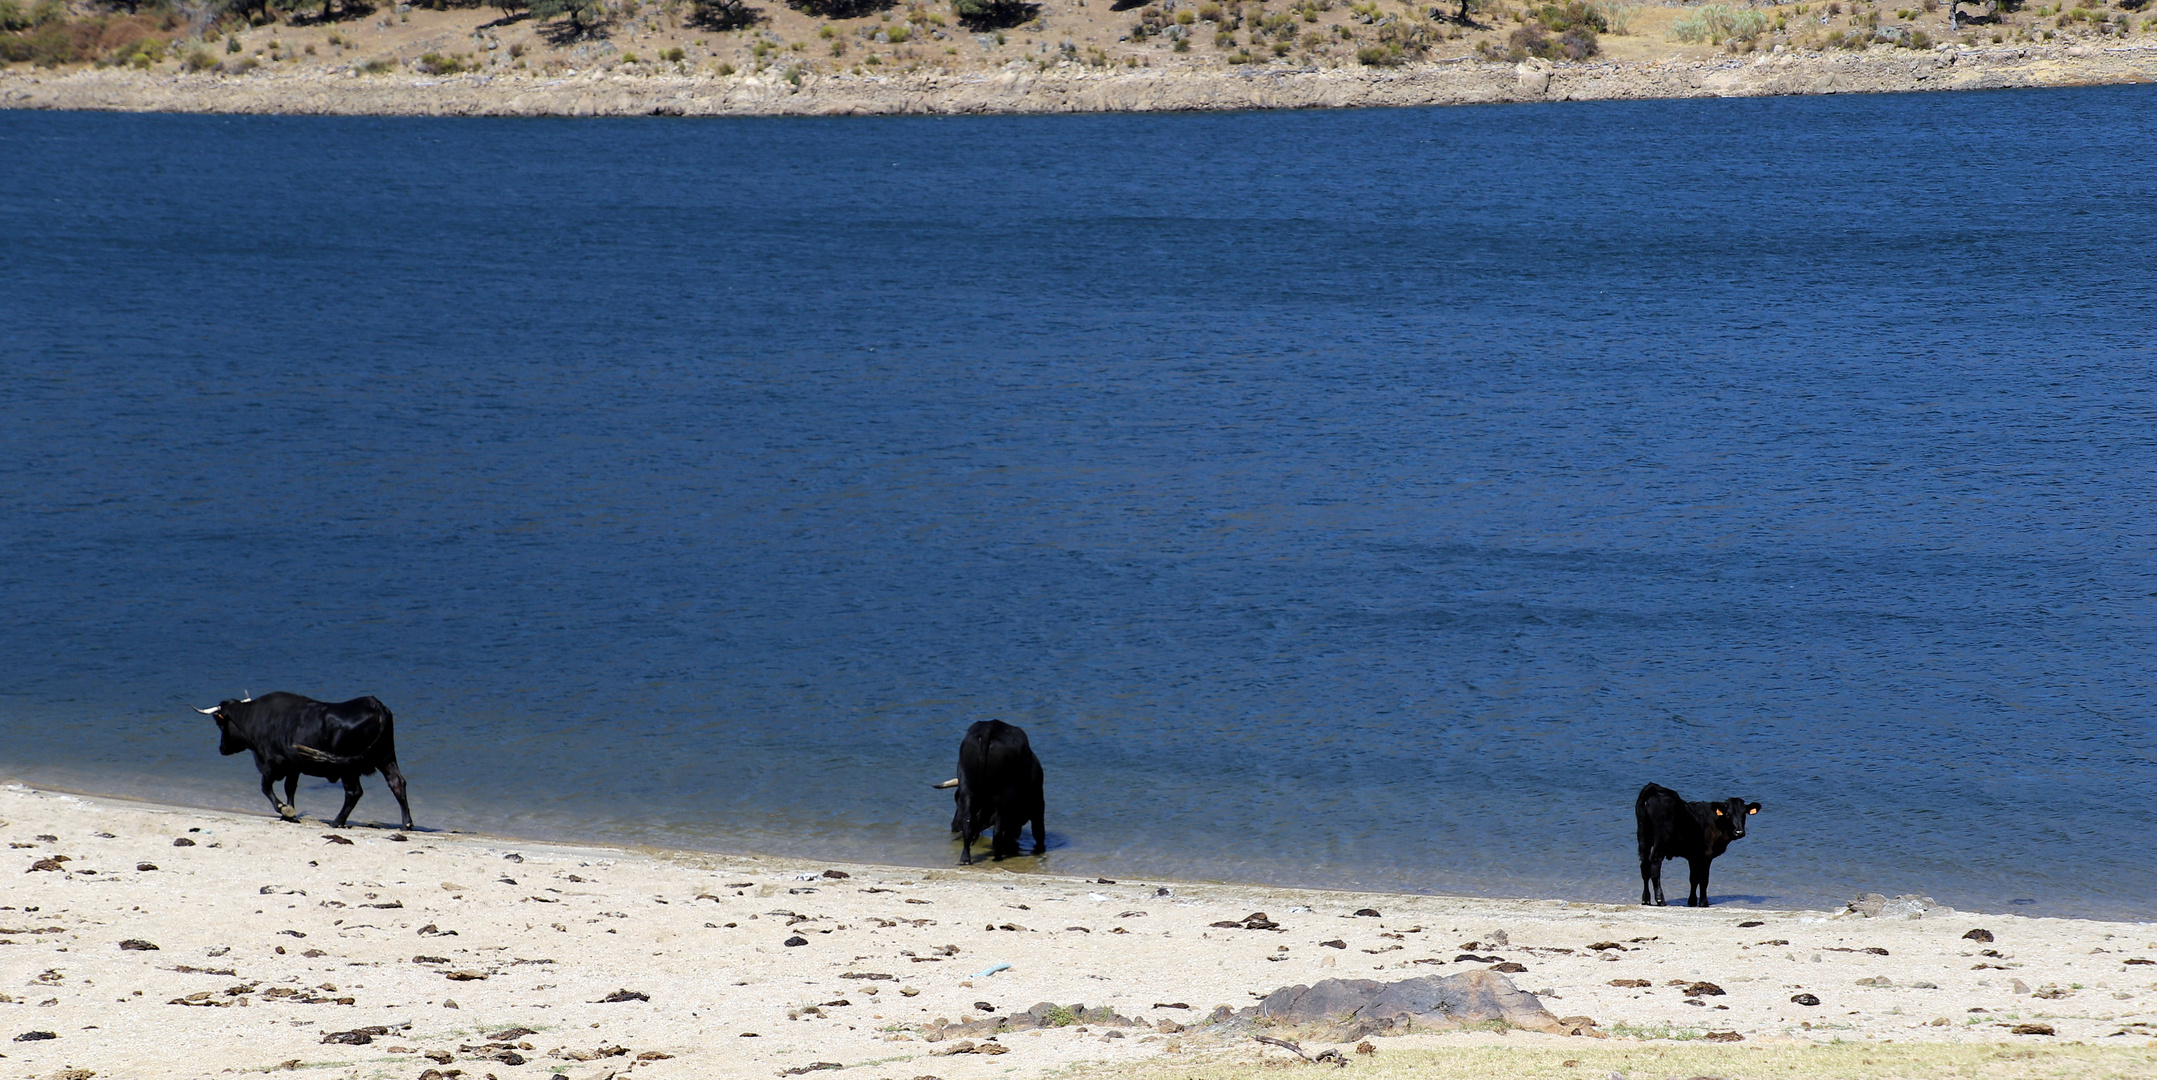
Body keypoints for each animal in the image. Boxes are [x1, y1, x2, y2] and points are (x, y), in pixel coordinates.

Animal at [196, 685, 414, 827]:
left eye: (220, 723)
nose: (222, 748)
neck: (256, 718)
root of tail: (375, 705)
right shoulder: (294, 766)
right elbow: (290, 788)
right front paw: (289, 814)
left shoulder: (273, 764)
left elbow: (266, 787)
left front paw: (284, 810)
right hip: (386, 757)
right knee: (397, 783)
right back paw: (407, 824)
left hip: (349, 768)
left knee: (354, 792)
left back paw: (336, 822)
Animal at [927, 719, 1043, 862]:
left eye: (956, 799)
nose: (954, 826)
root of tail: (991, 726)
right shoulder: (1038, 804)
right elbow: (1038, 832)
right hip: (1003, 797)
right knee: (997, 831)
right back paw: (997, 857)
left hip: (967, 788)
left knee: (968, 823)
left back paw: (965, 858)